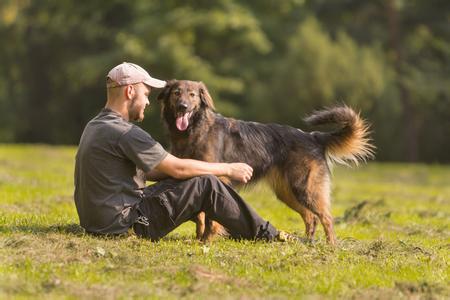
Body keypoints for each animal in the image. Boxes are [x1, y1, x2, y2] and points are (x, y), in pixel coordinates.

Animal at [156, 80, 374, 246]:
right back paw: (307, 242)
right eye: (176, 93)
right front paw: (199, 239)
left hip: (305, 188)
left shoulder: (217, 177)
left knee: (326, 218)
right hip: (287, 192)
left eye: (192, 95)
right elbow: (200, 216)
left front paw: (207, 241)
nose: (183, 106)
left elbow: (210, 217)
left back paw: (331, 245)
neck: (194, 130)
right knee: (310, 217)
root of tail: (313, 136)